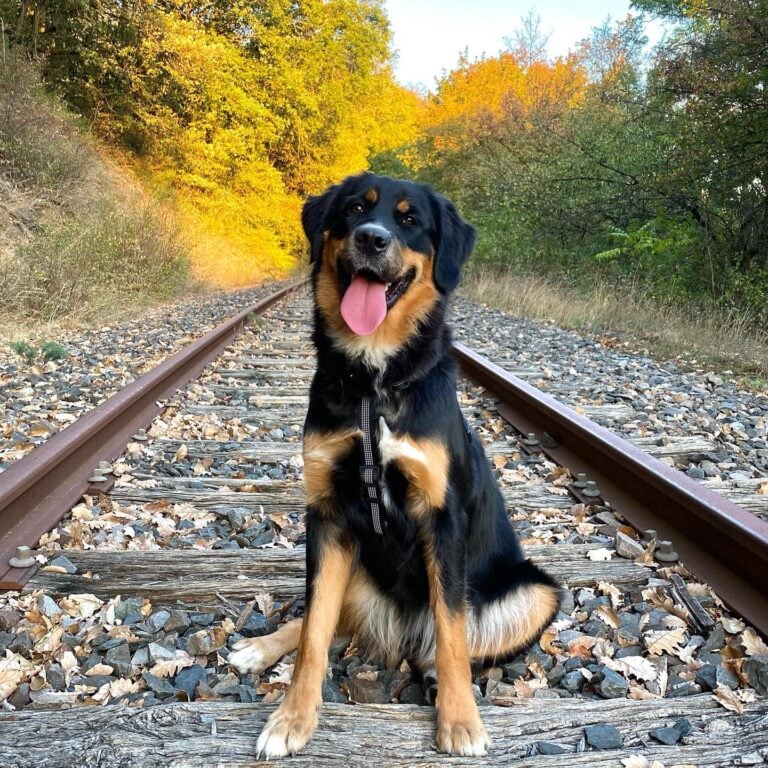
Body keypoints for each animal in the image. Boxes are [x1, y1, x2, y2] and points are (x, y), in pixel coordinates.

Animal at [228, 172, 560, 756]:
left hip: (537, 592)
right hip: (356, 567)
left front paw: (460, 720)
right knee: (324, 622)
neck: (373, 380)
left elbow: (452, 635)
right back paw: (261, 646)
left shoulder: (441, 521)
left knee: (449, 641)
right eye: (355, 210)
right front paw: (292, 717)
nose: (372, 239)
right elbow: (313, 634)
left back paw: (431, 674)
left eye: (409, 220)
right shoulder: (328, 517)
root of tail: (402, 631)